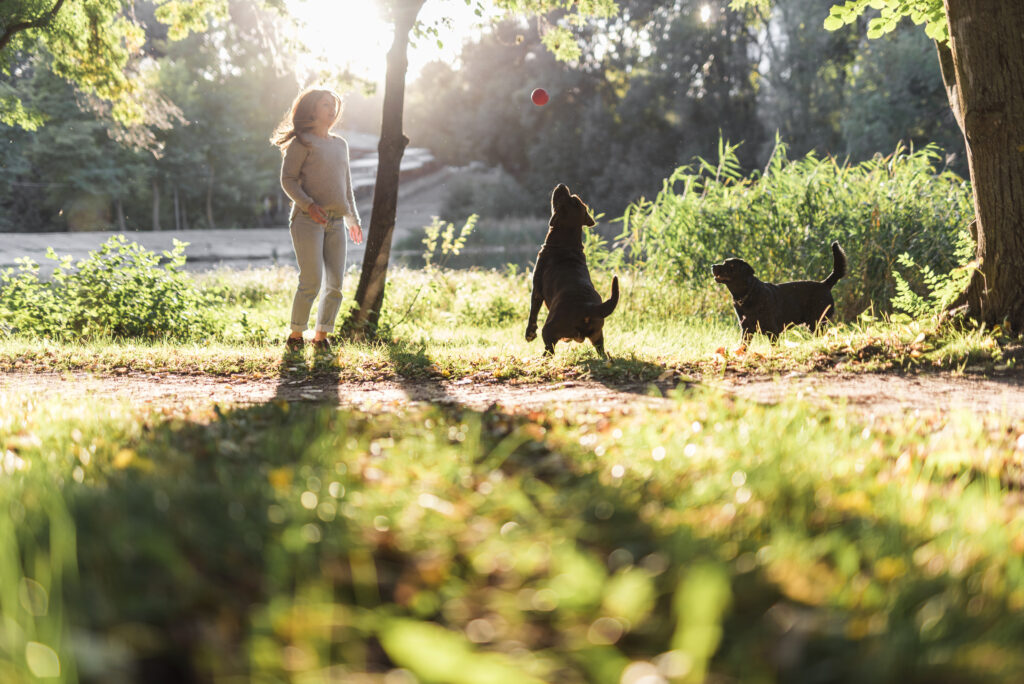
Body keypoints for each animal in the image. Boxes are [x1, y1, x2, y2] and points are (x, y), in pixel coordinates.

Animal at [528, 184, 614, 360]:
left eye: (569, 198)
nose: (562, 185)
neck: (566, 241)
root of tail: (589, 307)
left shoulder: (537, 288)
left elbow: (533, 312)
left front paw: (529, 334)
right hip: (598, 333)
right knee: (601, 350)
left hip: (549, 328)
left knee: (550, 349)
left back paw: (541, 359)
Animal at [712, 242, 847, 344]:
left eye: (730, 265)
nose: (713, 265)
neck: (748, 294)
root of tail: (825, 284)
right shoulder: (746, 331)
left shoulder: (773, 332)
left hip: (817, 323)